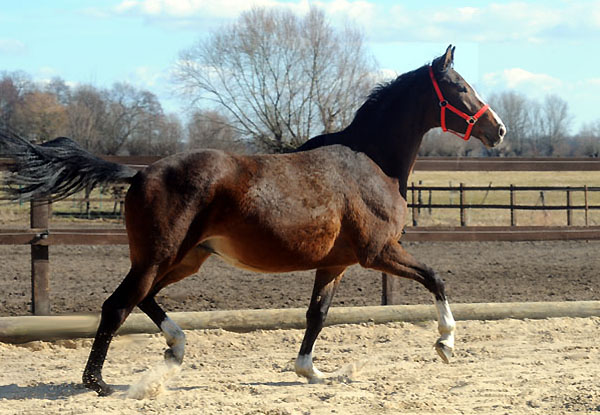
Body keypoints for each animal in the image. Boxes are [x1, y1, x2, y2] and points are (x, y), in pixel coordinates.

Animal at [0, 45, 504, 396]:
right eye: (460, 86)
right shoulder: (378, 252)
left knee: (145, 300)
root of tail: (140, 171)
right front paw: (446, 344)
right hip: (158, 256)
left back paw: (176, 348)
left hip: (184, 259)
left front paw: (311, 372)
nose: (496, 130)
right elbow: (436, 278)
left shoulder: (335, 264)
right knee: (117, 305)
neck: (372, 163)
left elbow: (317, 314)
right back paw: (99, 382)